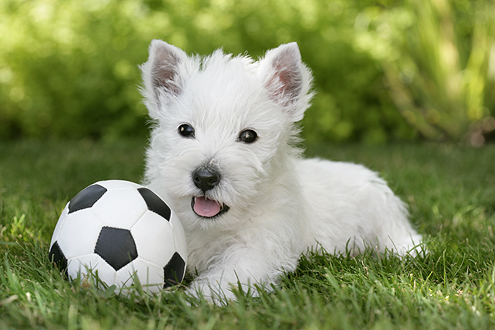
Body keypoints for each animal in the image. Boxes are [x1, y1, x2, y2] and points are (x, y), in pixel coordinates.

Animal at [140, 40, 422, 302]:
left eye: (249, 136)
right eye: (185, 130)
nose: (205, 177)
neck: (210, 227)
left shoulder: (259, 248)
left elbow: (230, 275)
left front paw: (201, 298)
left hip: (383, 216)